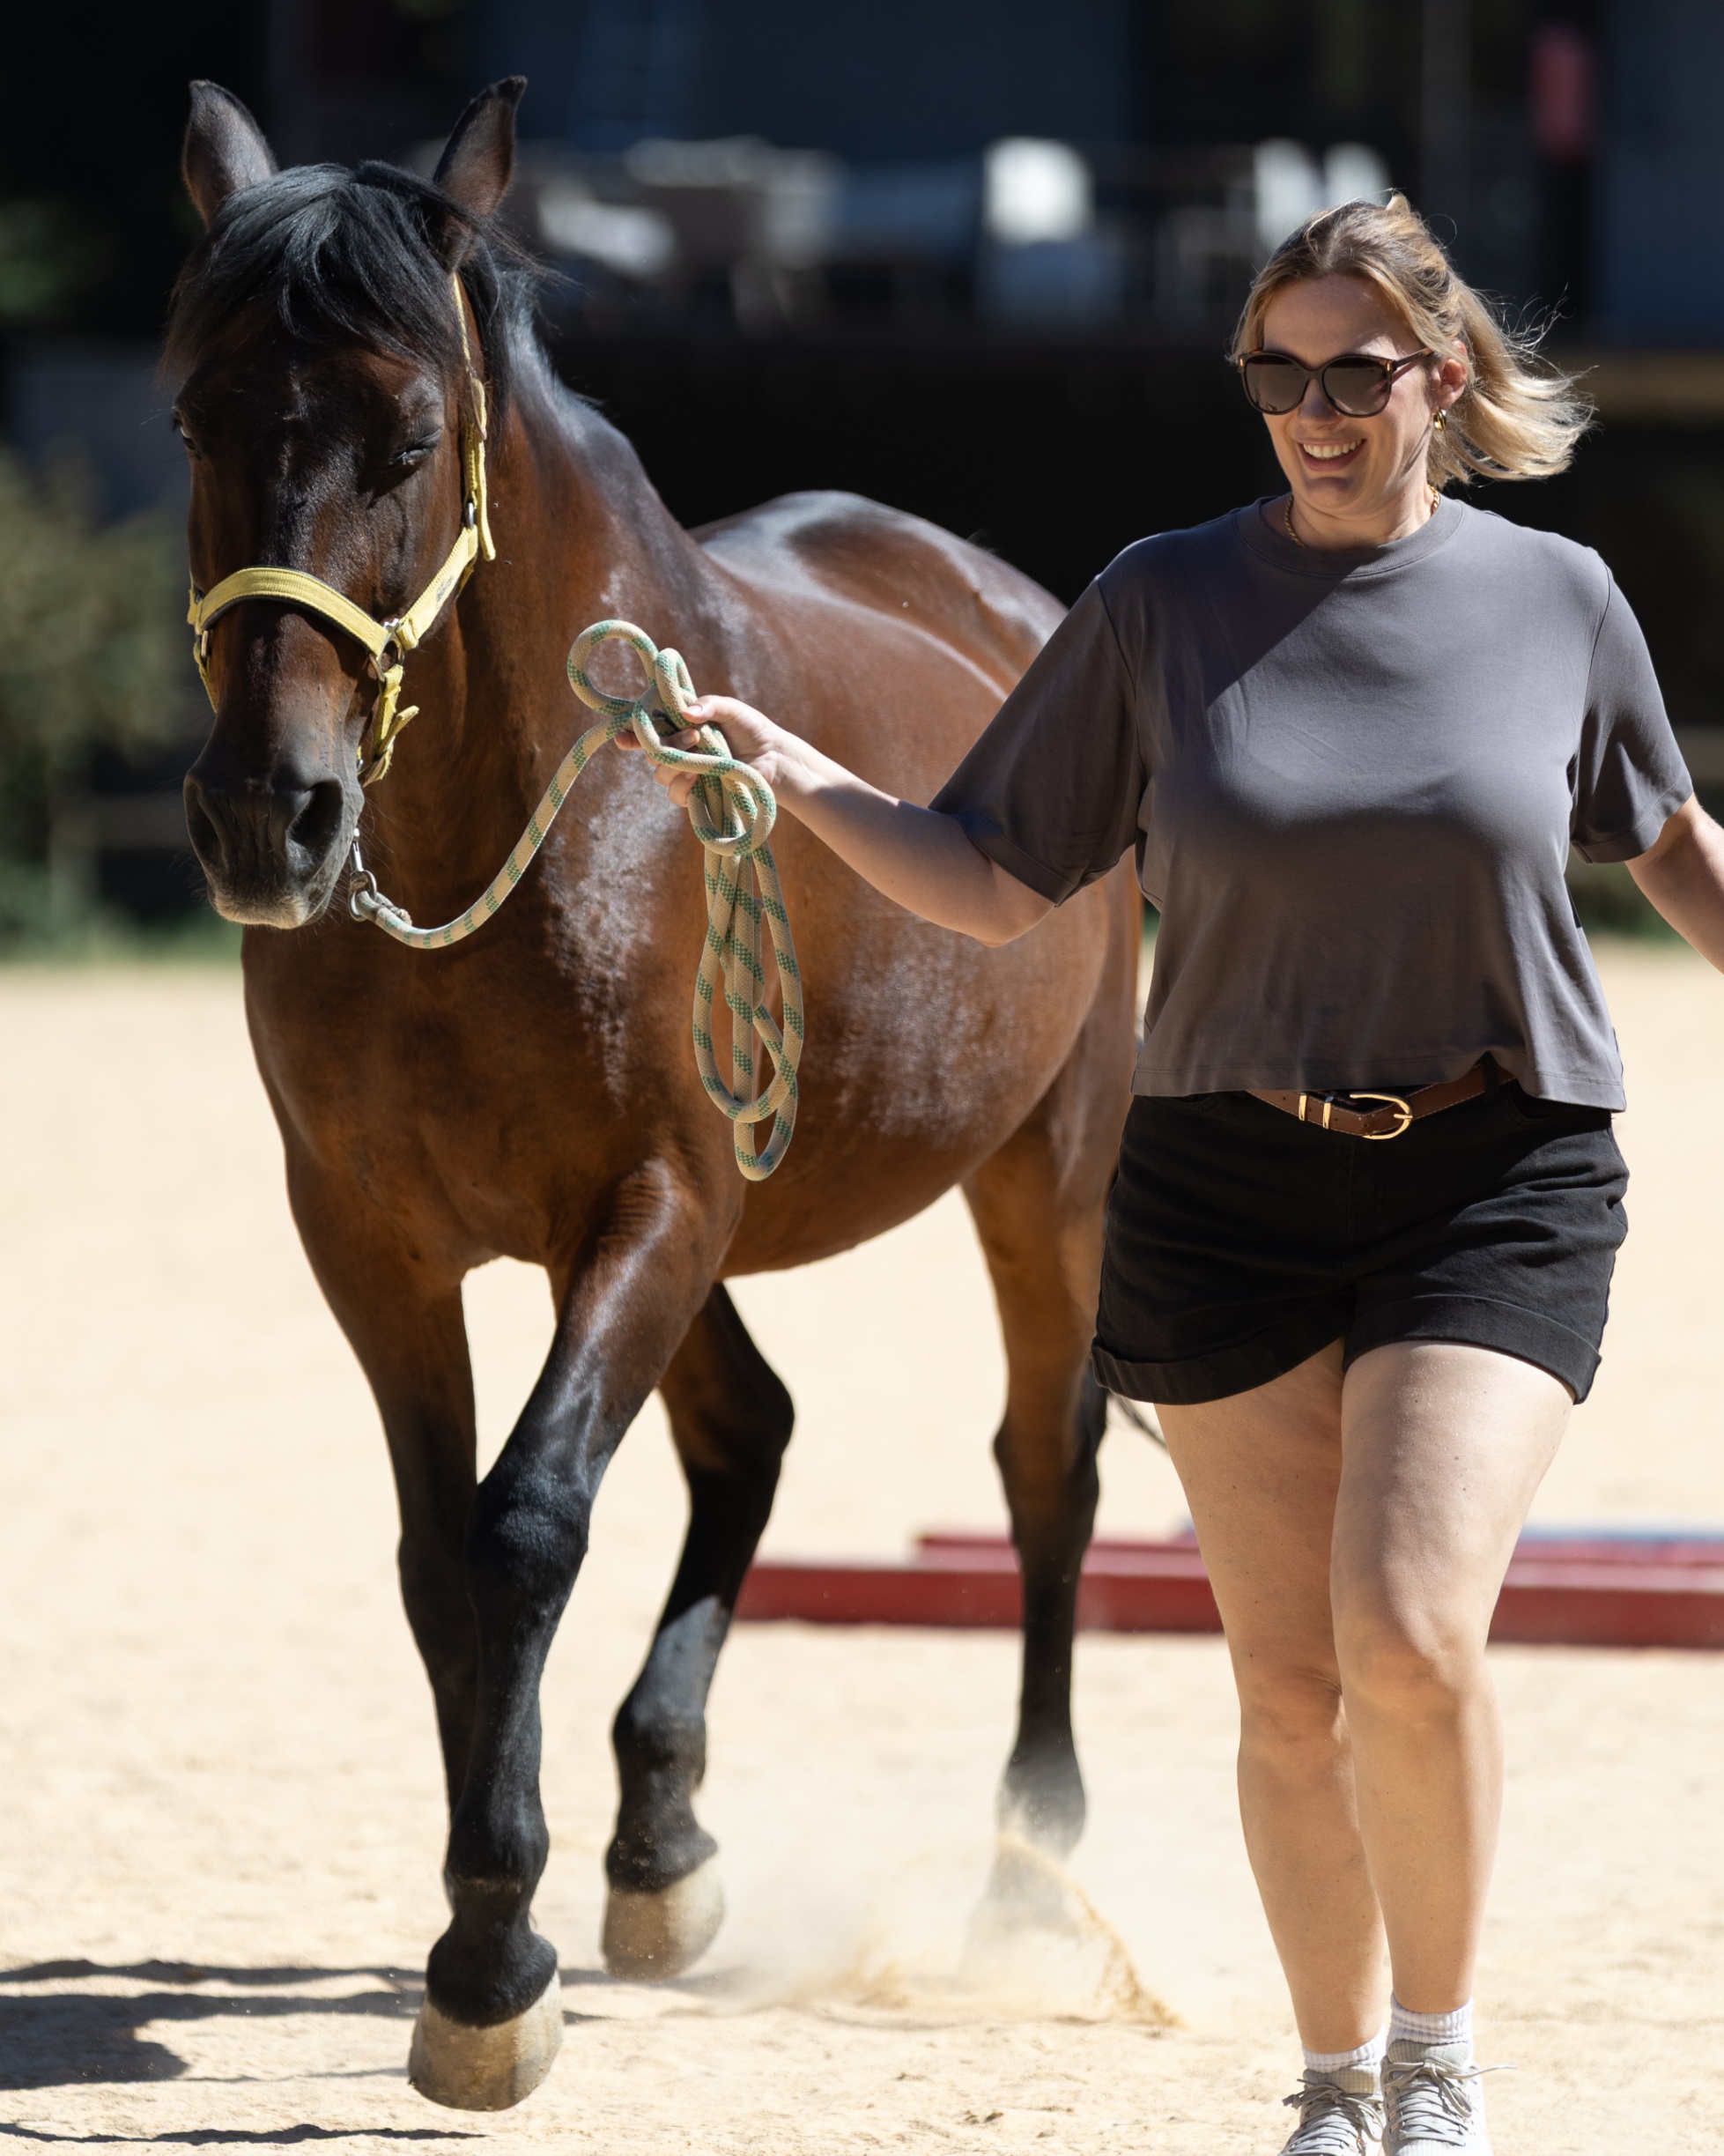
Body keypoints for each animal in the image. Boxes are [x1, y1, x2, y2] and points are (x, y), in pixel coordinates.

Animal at [171, 76, 1137, 2110]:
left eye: (411, 436)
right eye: (196, 416)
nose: (266, 814)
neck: (503, 835)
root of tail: (1007, 597)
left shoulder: (654, 1199)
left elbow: (527, 1521)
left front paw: (486, 1956)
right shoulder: (379, 1241)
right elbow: (437, 1557)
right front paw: (505, 1918)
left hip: (1046, 1168)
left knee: (1045, 1464)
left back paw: (1026, 1863)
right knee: (750, 1428)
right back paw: (661, 1838)